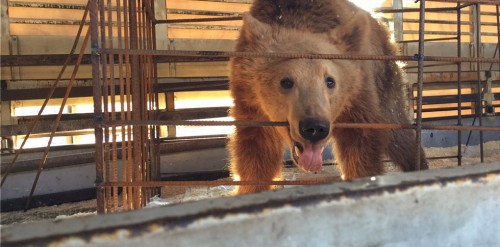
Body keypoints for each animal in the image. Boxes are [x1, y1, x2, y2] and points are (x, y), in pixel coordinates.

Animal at [229, 0, 428, 194]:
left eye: (330, 81)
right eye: (286, 81)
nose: (315, 127)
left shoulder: (358, 97)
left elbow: (361, 149)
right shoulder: (251, 104)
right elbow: (255, 154)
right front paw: (250, 189)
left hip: (386, 79)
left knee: (398, 133)